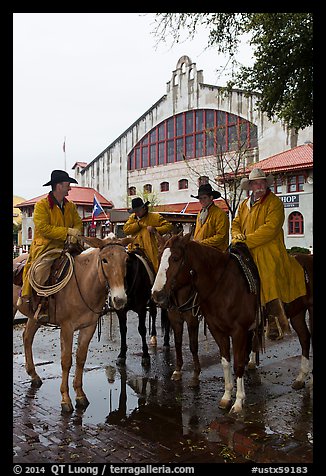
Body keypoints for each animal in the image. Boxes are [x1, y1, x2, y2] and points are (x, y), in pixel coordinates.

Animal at [13, 237, 131, 412]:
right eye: (104, 260)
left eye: (126, 260)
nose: (119, 299)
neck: (83, 284)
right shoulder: (67, 328)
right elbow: (66, 361)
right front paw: (65, 399)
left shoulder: (89, 327)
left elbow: (81, 358)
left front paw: (80, 395)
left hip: (35, 317)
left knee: (27, 337)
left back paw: (34, 375)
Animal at [153, 234, 314, 412]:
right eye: (159, 256)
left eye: (175, 258)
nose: (157, 295)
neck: (222, 286)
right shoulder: (217, 330)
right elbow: (225, 362)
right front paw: (226, 396)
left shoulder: (239, 332)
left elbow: (238, 364)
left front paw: (238, 401)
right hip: (298, 314)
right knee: (305, 338)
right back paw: (300, 378)